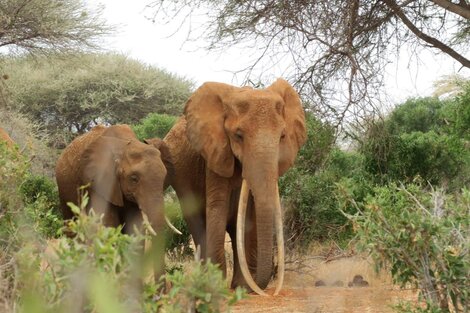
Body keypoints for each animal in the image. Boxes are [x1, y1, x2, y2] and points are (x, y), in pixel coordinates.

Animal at [163, 78, 306, 294]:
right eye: (238, 135)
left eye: (282, 136)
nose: (264, 289)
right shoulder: (215, 152)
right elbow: (218, 206)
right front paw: (215, 285)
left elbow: (250, 216)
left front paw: (243, 287)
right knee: (198, 224)